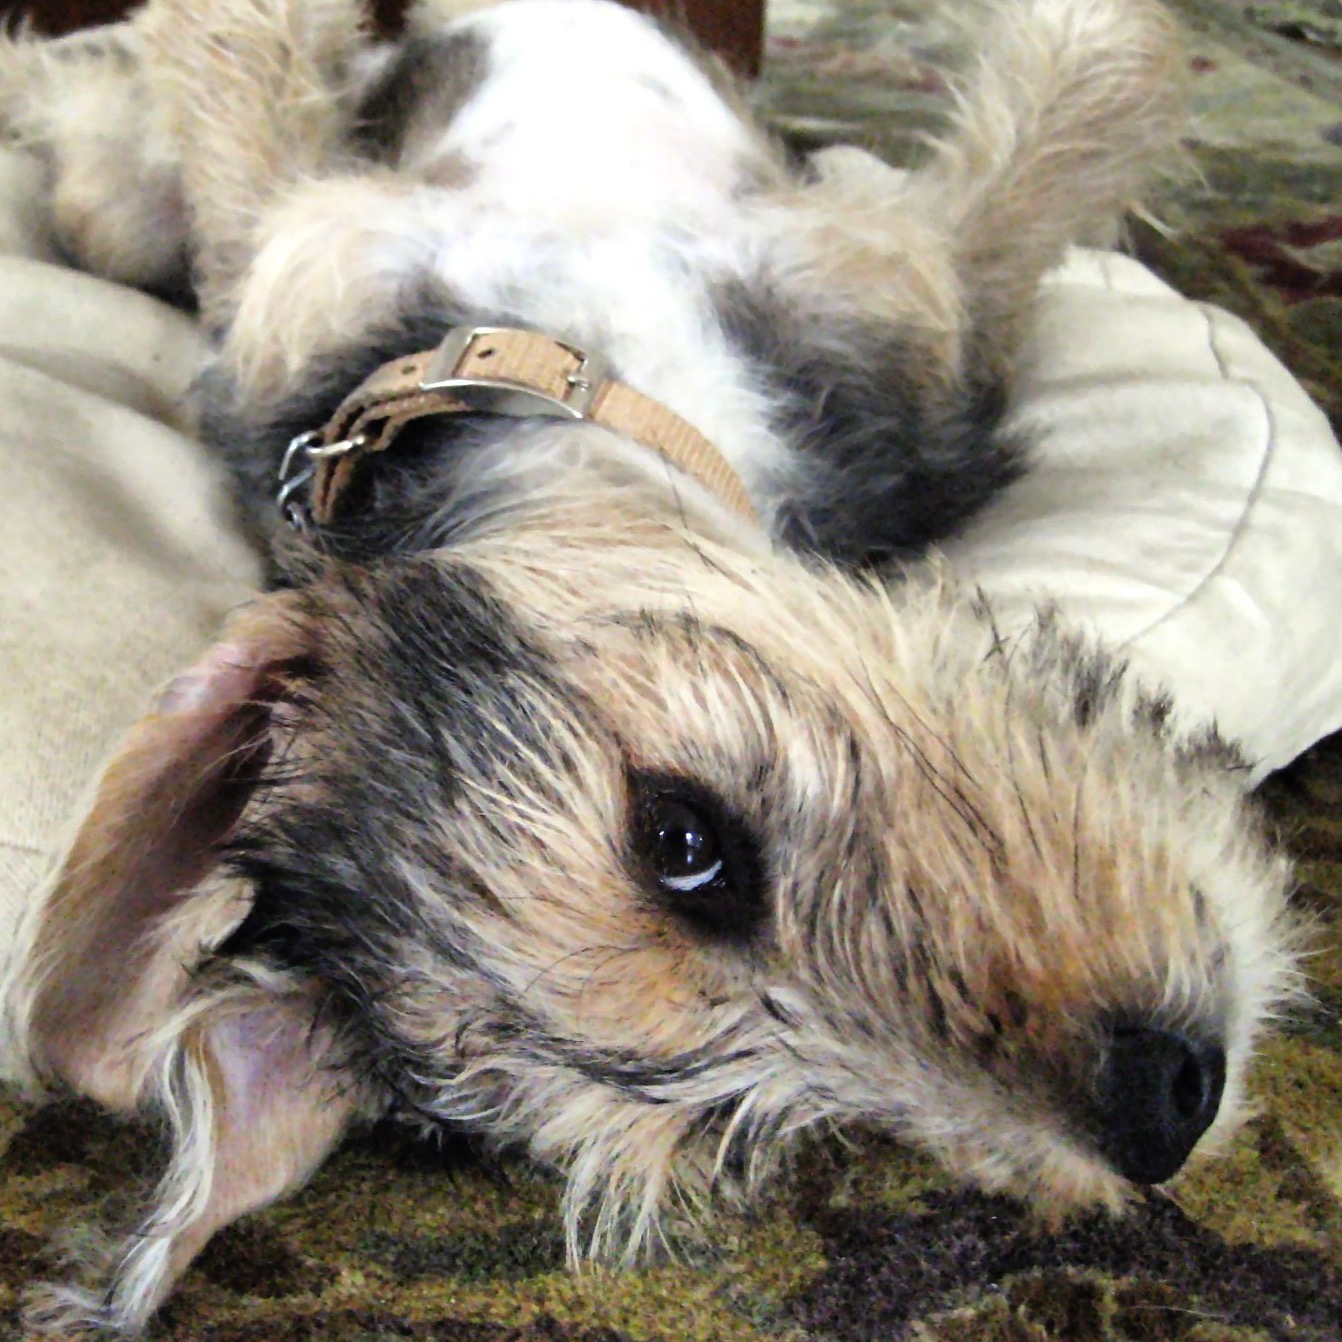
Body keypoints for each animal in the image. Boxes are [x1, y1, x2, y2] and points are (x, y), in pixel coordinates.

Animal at [0, 0, 1302, 1333]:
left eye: (680, 838)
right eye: (746, 1134)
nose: (1166, 1105)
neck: (577, 365)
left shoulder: (903, 290)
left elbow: (1084, 88)